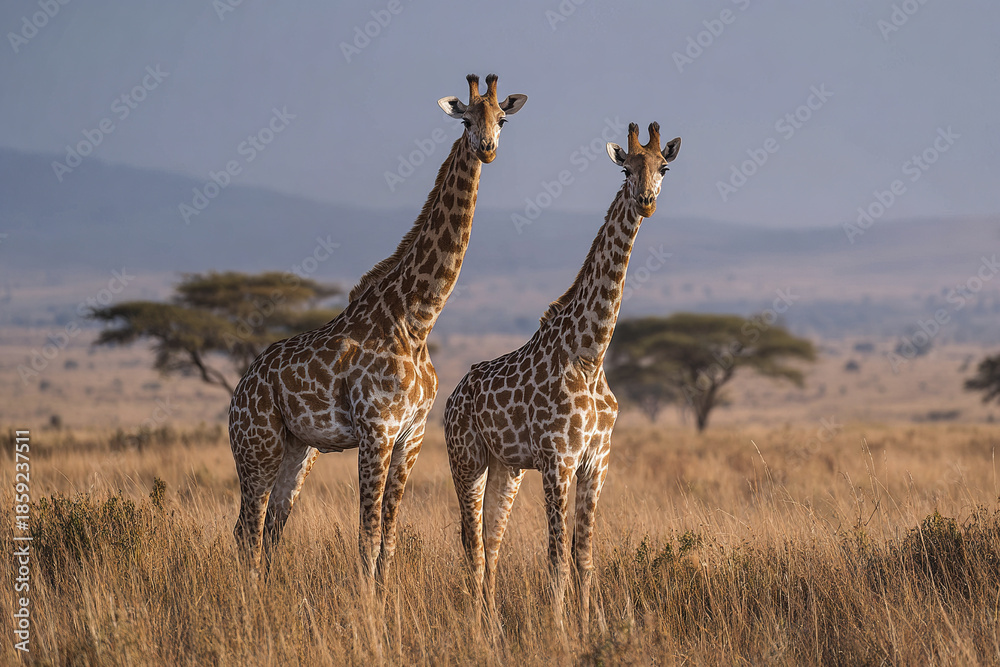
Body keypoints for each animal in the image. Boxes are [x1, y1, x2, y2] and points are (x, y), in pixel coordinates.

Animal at [228, 73, 527, 582]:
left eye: (502, 119)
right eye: (466, 120)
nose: (486, 148)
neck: (417, 319)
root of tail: (237, 393)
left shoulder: (412, 434)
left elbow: (388, 535)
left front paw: (384, 597)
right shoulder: (376, 430)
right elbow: (366, 535)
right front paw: (367, 603)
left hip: (297, 451)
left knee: (269, 527)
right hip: (257, 446)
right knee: (247, 528)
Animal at [444, 122, 680, 632]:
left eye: (664, 167)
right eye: (626, 168)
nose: (646, 200)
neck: (590, 355)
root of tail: (451, 397)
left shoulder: (597, 459)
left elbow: (583, 552)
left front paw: (590, 627)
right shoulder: (558, 460)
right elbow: (554, 554)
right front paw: (558, 631)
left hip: (506, 466)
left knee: (492, 540)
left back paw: (494, 622)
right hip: (466, 458)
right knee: (471, 542)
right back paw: (478, 625)